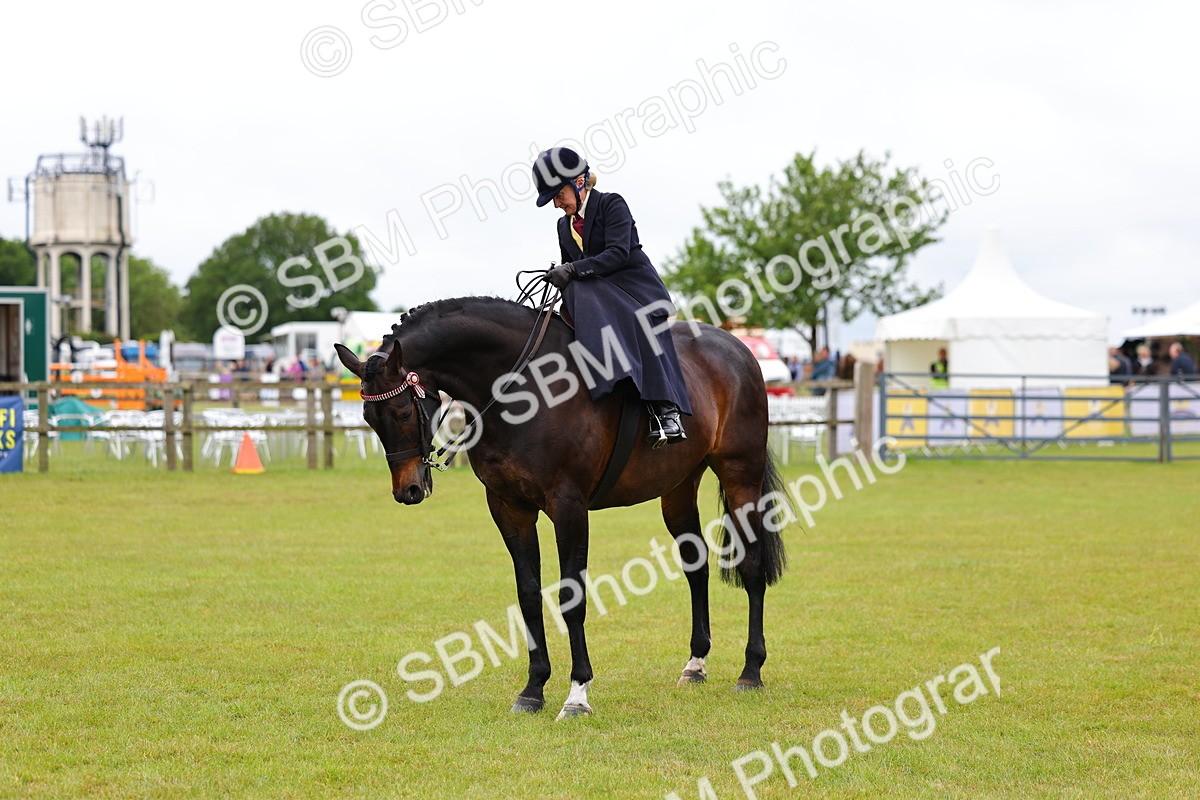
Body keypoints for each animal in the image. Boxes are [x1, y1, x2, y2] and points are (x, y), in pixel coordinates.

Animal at [334, 295, 790, 720]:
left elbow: (572, 595)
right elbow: (529, 594)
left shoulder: (569, 507)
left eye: (402, 411)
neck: (523, 387)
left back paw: (751, 671)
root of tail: (736, 346)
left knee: (752, 566)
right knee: (696, 566)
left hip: (740, 476)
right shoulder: (509, 507)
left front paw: (577, 694)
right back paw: (695, 664)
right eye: (368, 417)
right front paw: (533, 689)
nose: (408, 489)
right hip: (678, 488)